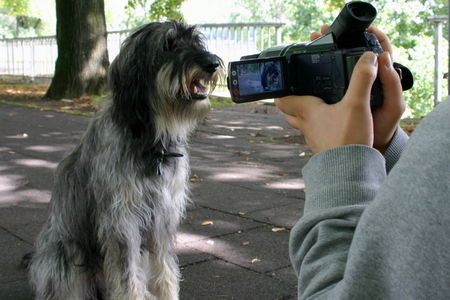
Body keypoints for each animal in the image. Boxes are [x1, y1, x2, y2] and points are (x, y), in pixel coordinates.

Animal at [28, 21, 221, 300]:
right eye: (168, 44)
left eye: (196, 42)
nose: (212, 63)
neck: (151, 140)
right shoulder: (122, 219)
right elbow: (127, 275)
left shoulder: (163, 216)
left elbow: (165, 268)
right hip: (65, 253)